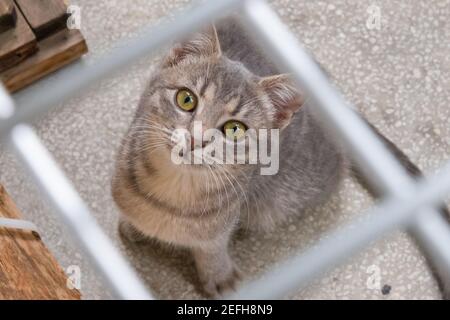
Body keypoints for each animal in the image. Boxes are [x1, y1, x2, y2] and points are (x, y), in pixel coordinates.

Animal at [113, 16, 450, 298]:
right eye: (186, 99)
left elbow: (212, 247)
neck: (172, 192)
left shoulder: (219, 225)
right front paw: (134, 227)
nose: (197, 138)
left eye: (234, 129)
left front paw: (217, 274)